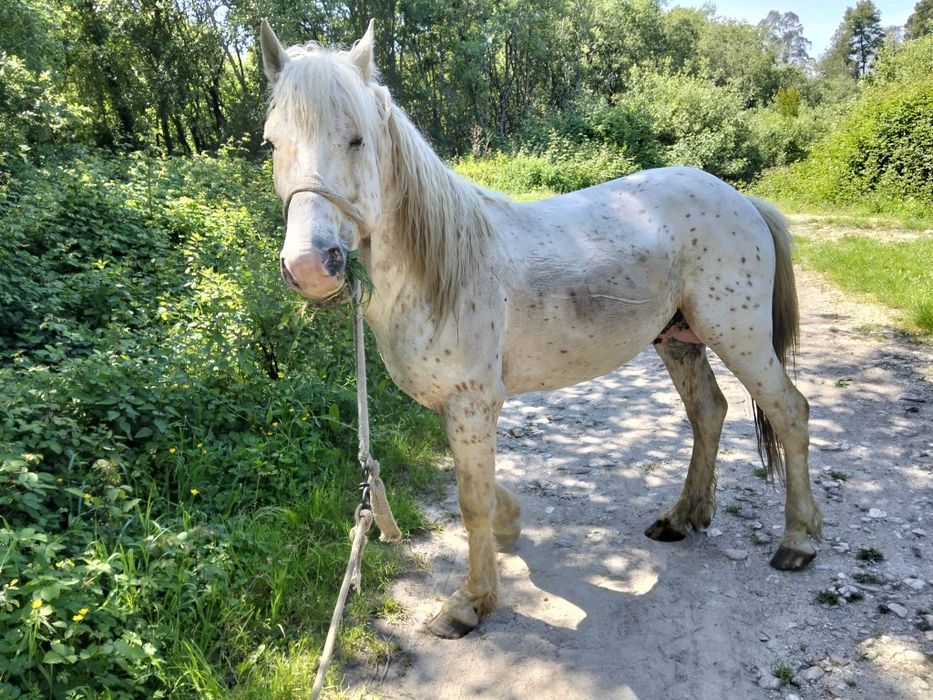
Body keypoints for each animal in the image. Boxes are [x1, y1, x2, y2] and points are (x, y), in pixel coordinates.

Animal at [258, 20, 822, 639]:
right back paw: (683, 517)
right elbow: (481, 490)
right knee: (709, 412)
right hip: (678, 340)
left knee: (790, 412)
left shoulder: (474, 403)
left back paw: (798, 541)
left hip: (738, 336)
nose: (311, 265)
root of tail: (741, 199)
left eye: (357, 139)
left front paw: (470, 603)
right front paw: (509, 529)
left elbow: (471, 500)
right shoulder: (458, 406)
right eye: (271, 144)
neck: (443, 271)